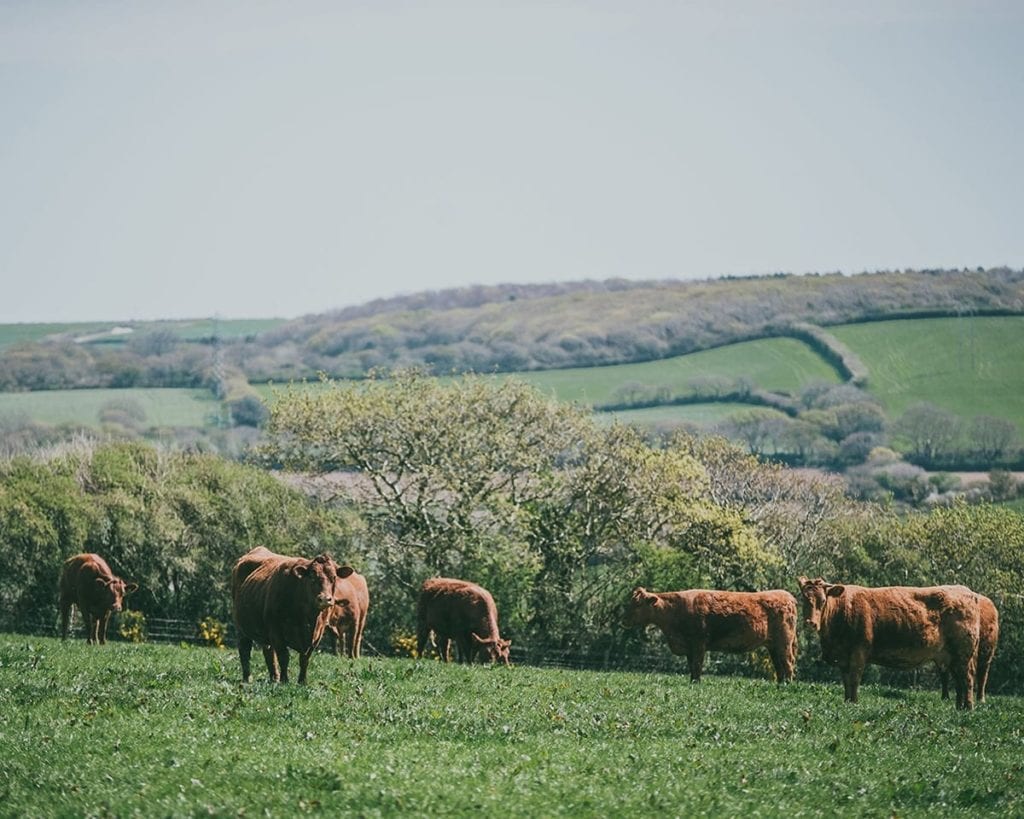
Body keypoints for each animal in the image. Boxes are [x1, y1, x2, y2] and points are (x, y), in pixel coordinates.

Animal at [229, 548, 348, 683]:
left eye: (334, 577)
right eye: (312, 577)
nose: (324, 599)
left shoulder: (316, 636)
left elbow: (304, 659)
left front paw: (302, 681)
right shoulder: (276, 631)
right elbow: (284, 657)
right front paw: (284, 680)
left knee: (268, 652)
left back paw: (274, 678)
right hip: (241, 627)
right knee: (244, 650)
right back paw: (247, 678)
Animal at [622, 585, 798, 679]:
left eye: (638, 604)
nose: (624, 620)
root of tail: (787, 596)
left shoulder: (698, 644)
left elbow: (697, 666)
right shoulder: (689, 648)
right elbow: (692, 667)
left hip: (784, 643)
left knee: (788, 664)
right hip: (773, 646)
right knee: (779, 667)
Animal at [794, 577, 978, 708]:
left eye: (823, 601)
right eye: (804, 599)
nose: (811, 623)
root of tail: (968, 592)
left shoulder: (858, 653)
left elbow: (854, 679)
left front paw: (853, 703)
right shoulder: (843, 658)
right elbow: (846, 681)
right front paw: (847, 701)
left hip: (962, 655)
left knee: (967, 679)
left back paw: (968, 708)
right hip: (951, 657)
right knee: (959, 682)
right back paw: (959, 707)